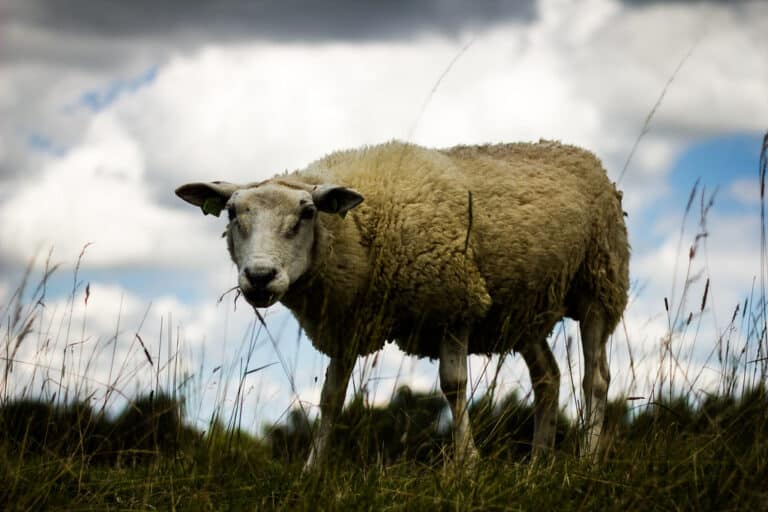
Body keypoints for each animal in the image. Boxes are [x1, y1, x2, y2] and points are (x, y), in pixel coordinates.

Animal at [176, 139, 630, 469]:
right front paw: (312, 470)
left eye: (306, 213)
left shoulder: (454, 303)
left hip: (598, 284)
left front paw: (466, 465)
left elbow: (454, 386)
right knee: (548, 377)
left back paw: (586, 460)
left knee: (595, 379)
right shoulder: (348, 323)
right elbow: (331, 398)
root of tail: (579, 152)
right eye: (231, 213)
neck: (361, 229)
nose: (259, 277)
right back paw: (538, 466)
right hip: (523, 310)